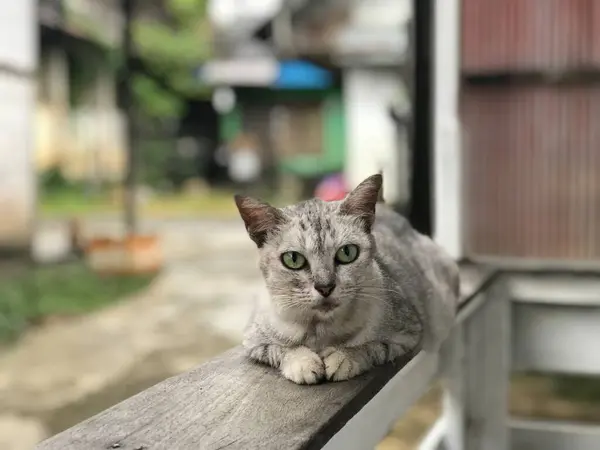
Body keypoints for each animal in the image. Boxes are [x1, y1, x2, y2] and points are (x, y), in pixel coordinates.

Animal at [234, 174, 460, 384]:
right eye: (293, 259)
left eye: (347, 253)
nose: (325, 287)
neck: (321, 332)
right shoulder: (253, 340)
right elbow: (283, 349)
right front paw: (304, 363)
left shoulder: (407, 333)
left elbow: (370, 347)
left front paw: (344, 357)